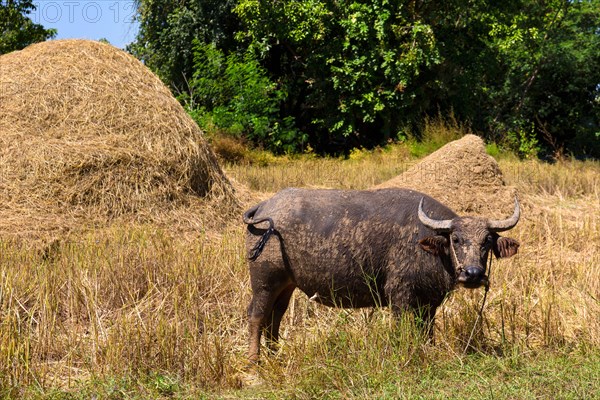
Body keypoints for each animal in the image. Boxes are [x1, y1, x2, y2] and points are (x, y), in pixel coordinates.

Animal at [241, 188, 516, 362]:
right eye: (456, 239)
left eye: (487, 240)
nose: (473, 273)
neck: (425, 244)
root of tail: (264, 207)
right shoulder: (400, 296)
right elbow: (402, 327)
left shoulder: (429, 302)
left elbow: (427, 329)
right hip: (264, 281)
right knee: (257, 315)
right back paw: (254, 361)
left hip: (286, 285)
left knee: (276, 316)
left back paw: (275, 354)